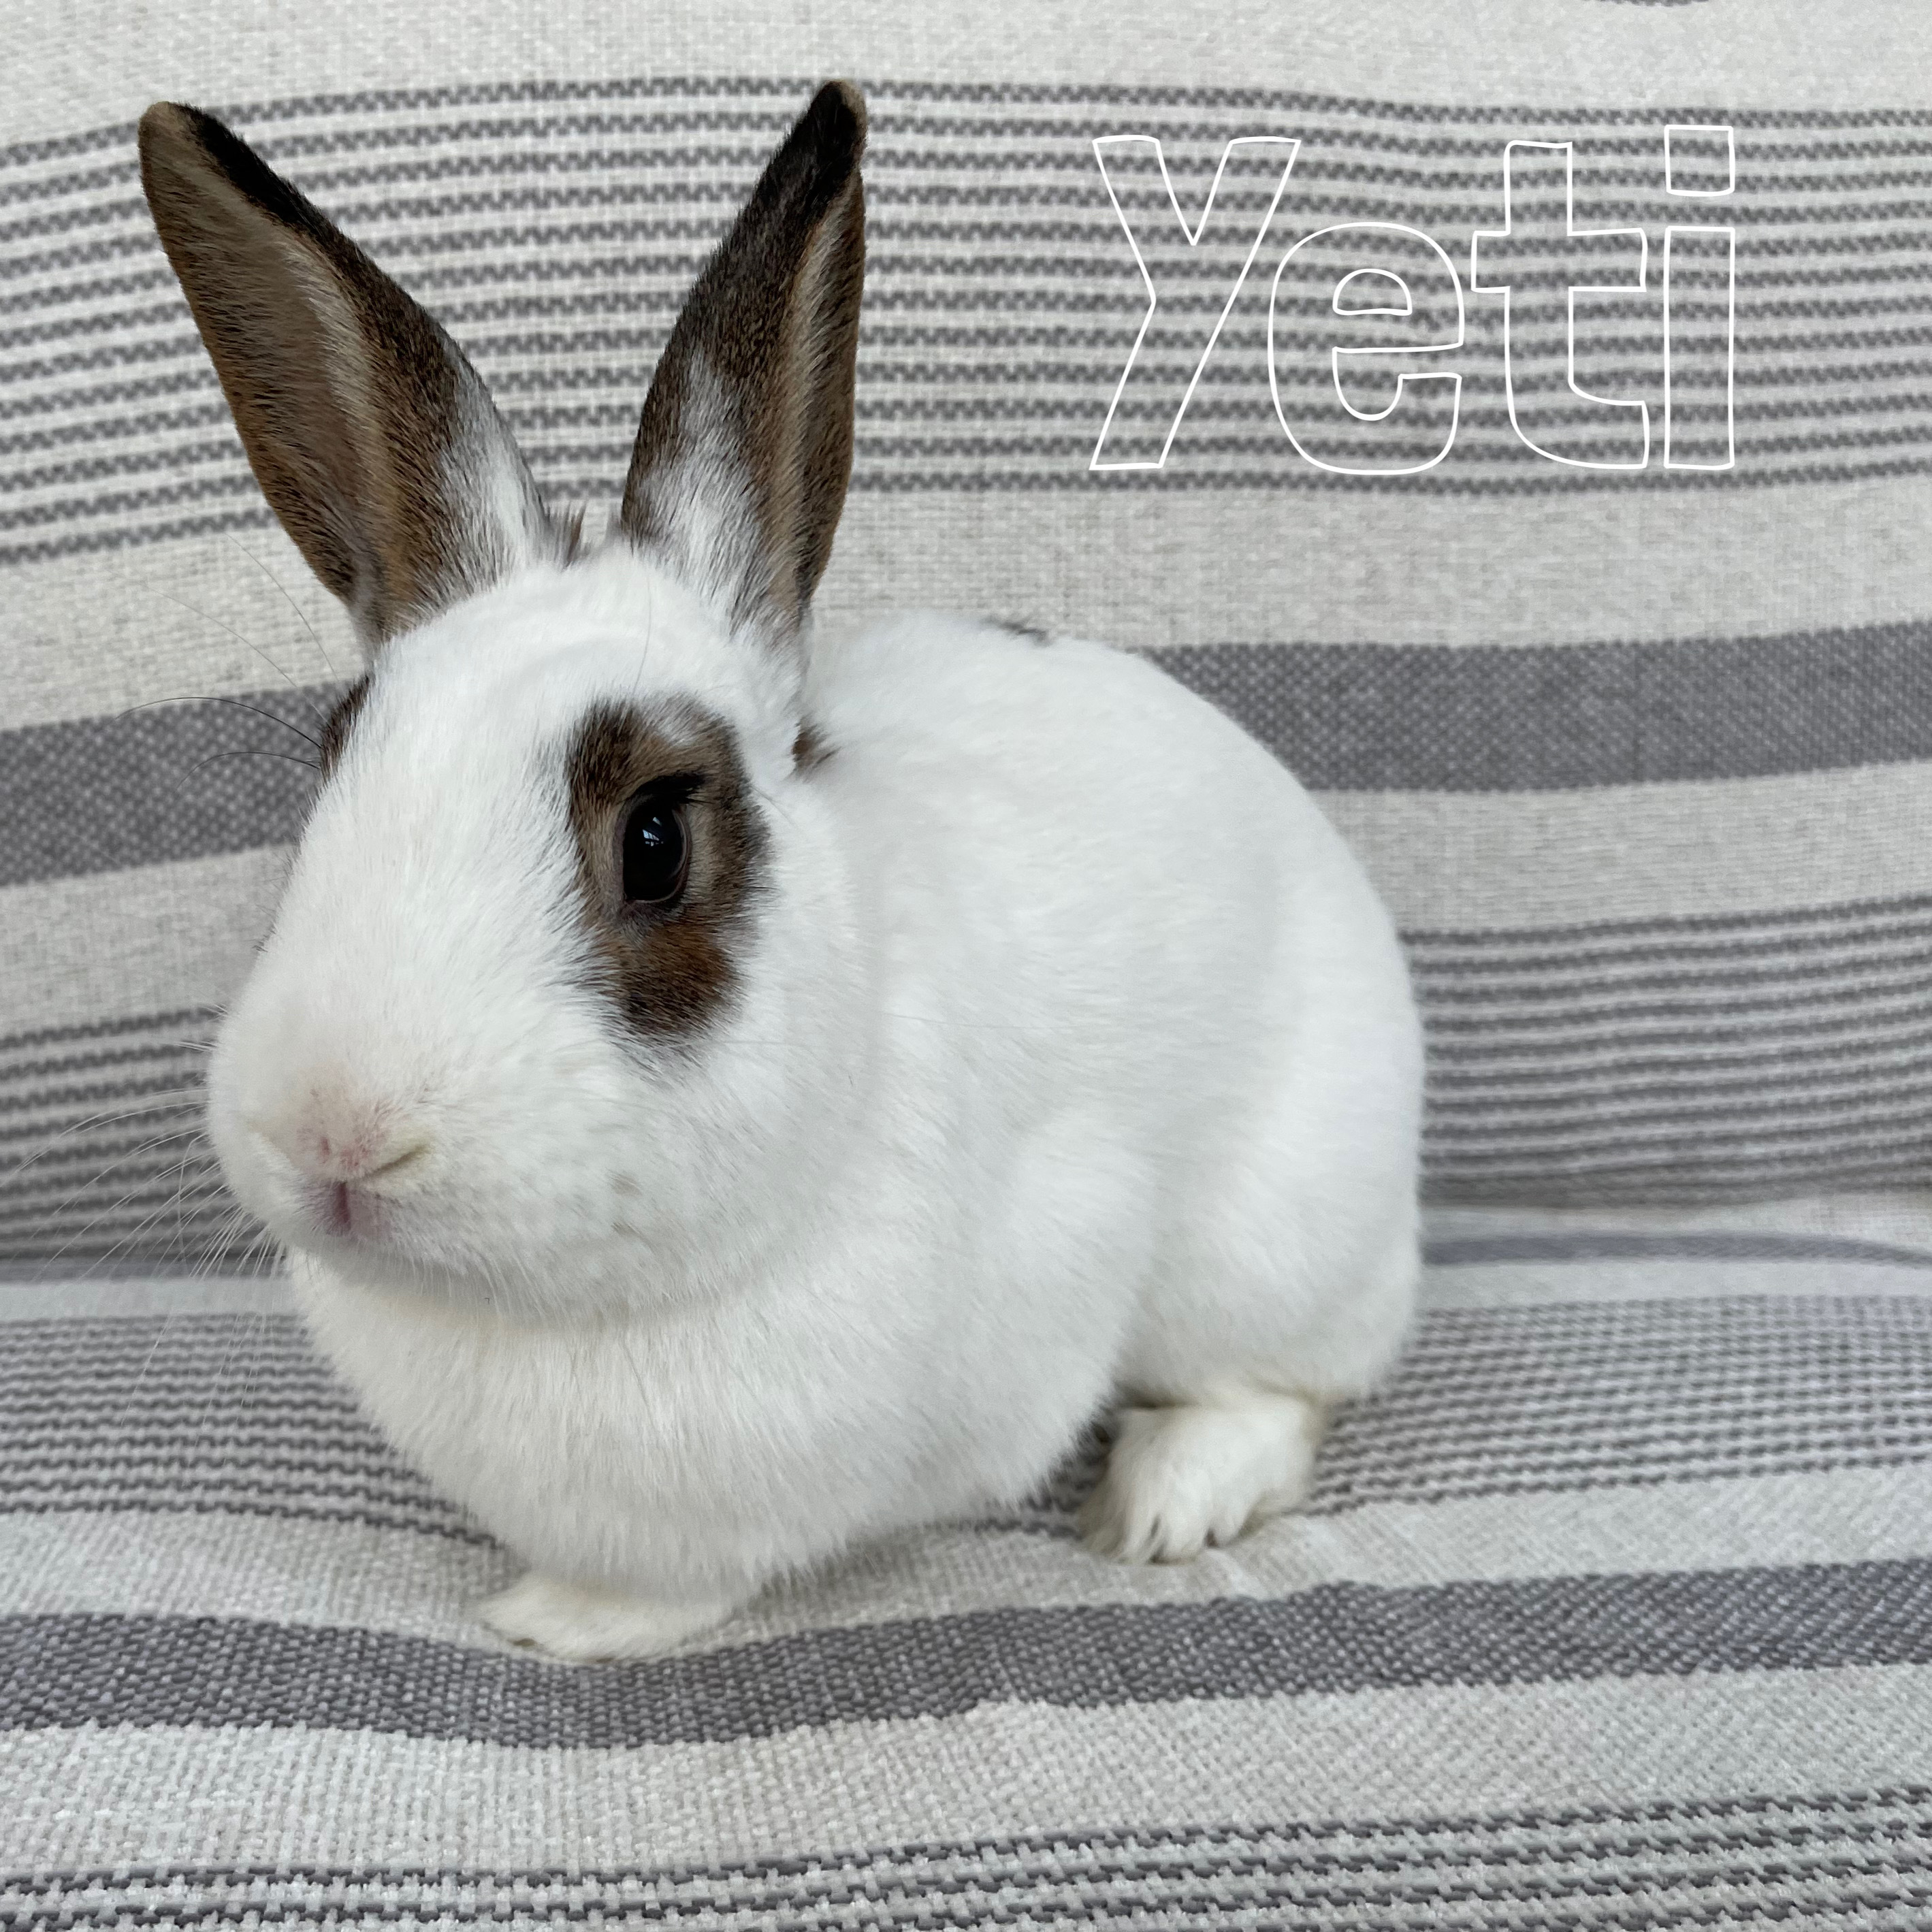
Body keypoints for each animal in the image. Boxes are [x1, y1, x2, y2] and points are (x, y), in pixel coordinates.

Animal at [141, 81, 1425, 1662]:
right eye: (334, 763)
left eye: (656, 839)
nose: (333, 1136)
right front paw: (553, 1613)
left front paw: (565, 1627)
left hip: (1276, 1232)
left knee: (1288, 1382)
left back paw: (1161, 1506)